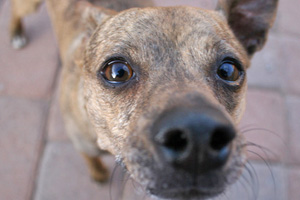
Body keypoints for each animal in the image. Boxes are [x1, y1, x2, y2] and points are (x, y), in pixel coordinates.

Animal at [11, 0, 278, 199]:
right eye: (117, 72)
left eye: (229, 70)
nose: (198, 137)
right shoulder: (82, 144)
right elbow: (91, 160)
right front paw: (97, 173)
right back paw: (15, 33)